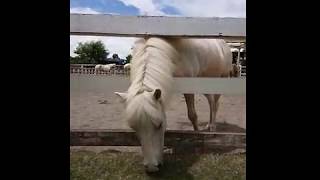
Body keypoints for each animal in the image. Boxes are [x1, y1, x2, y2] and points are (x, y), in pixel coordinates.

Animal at [115, 37, 232, 172]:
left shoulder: (189, 87)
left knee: (215, 104)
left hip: (220, 79)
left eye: (160, 124)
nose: (152, 167)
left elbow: (192, 115)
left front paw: (196, 136)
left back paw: (213, 128)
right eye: (134, 128)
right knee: (211, 102)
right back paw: (209, 125)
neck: (172, 50)